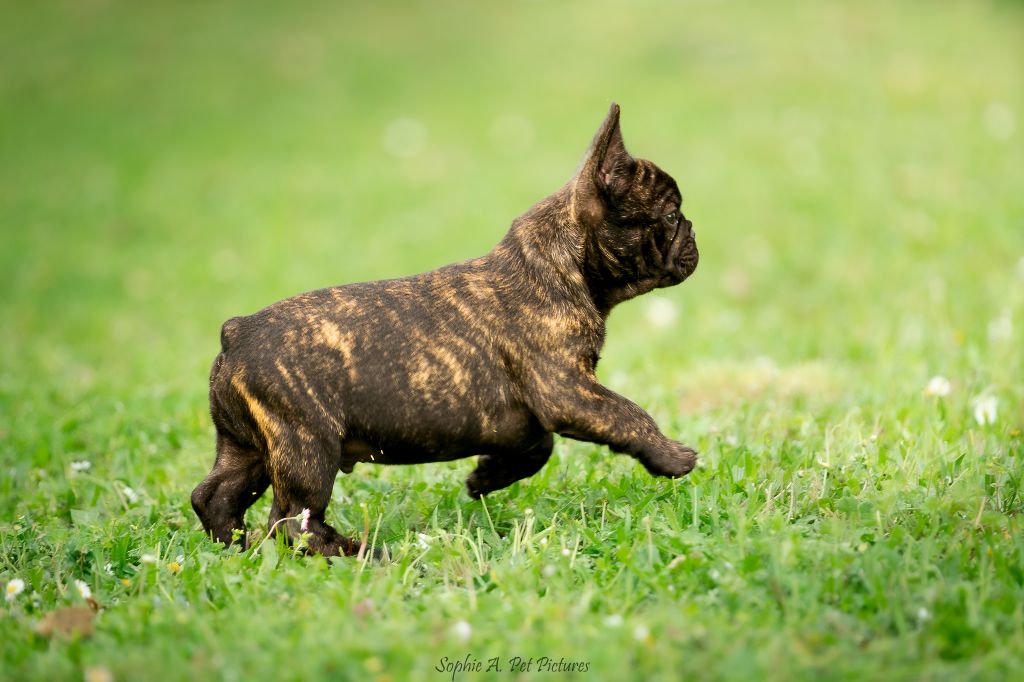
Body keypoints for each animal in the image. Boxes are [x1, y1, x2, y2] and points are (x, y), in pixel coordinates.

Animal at [191, 103, 696, 557]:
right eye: (671, 215)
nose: (692, 231)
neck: (558, 265)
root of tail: (235, 333)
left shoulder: (540, 405)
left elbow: (540, 445)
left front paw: (486, 476)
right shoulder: (567, 390)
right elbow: (627, 414)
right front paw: (672, 456)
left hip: (249, 448)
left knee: (214, 496)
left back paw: (233, 545)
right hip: (307, 447)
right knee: (294, 521)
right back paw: (357, 552)